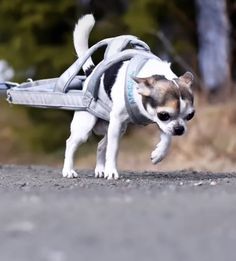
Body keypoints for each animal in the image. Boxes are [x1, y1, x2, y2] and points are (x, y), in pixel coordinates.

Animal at [61, 14, 195, 179]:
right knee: (71, 143)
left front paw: (159, 154)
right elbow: (113, 150)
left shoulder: (158, 122)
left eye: (190, 116)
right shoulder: (121, 122)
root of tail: (91, 72)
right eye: (164, 115)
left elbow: (167, 138)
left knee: (100, 145)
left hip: (117, 128)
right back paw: (68, 170)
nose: (180, 129)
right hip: (86, 127)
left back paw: (100, 169)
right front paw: (111, 171)